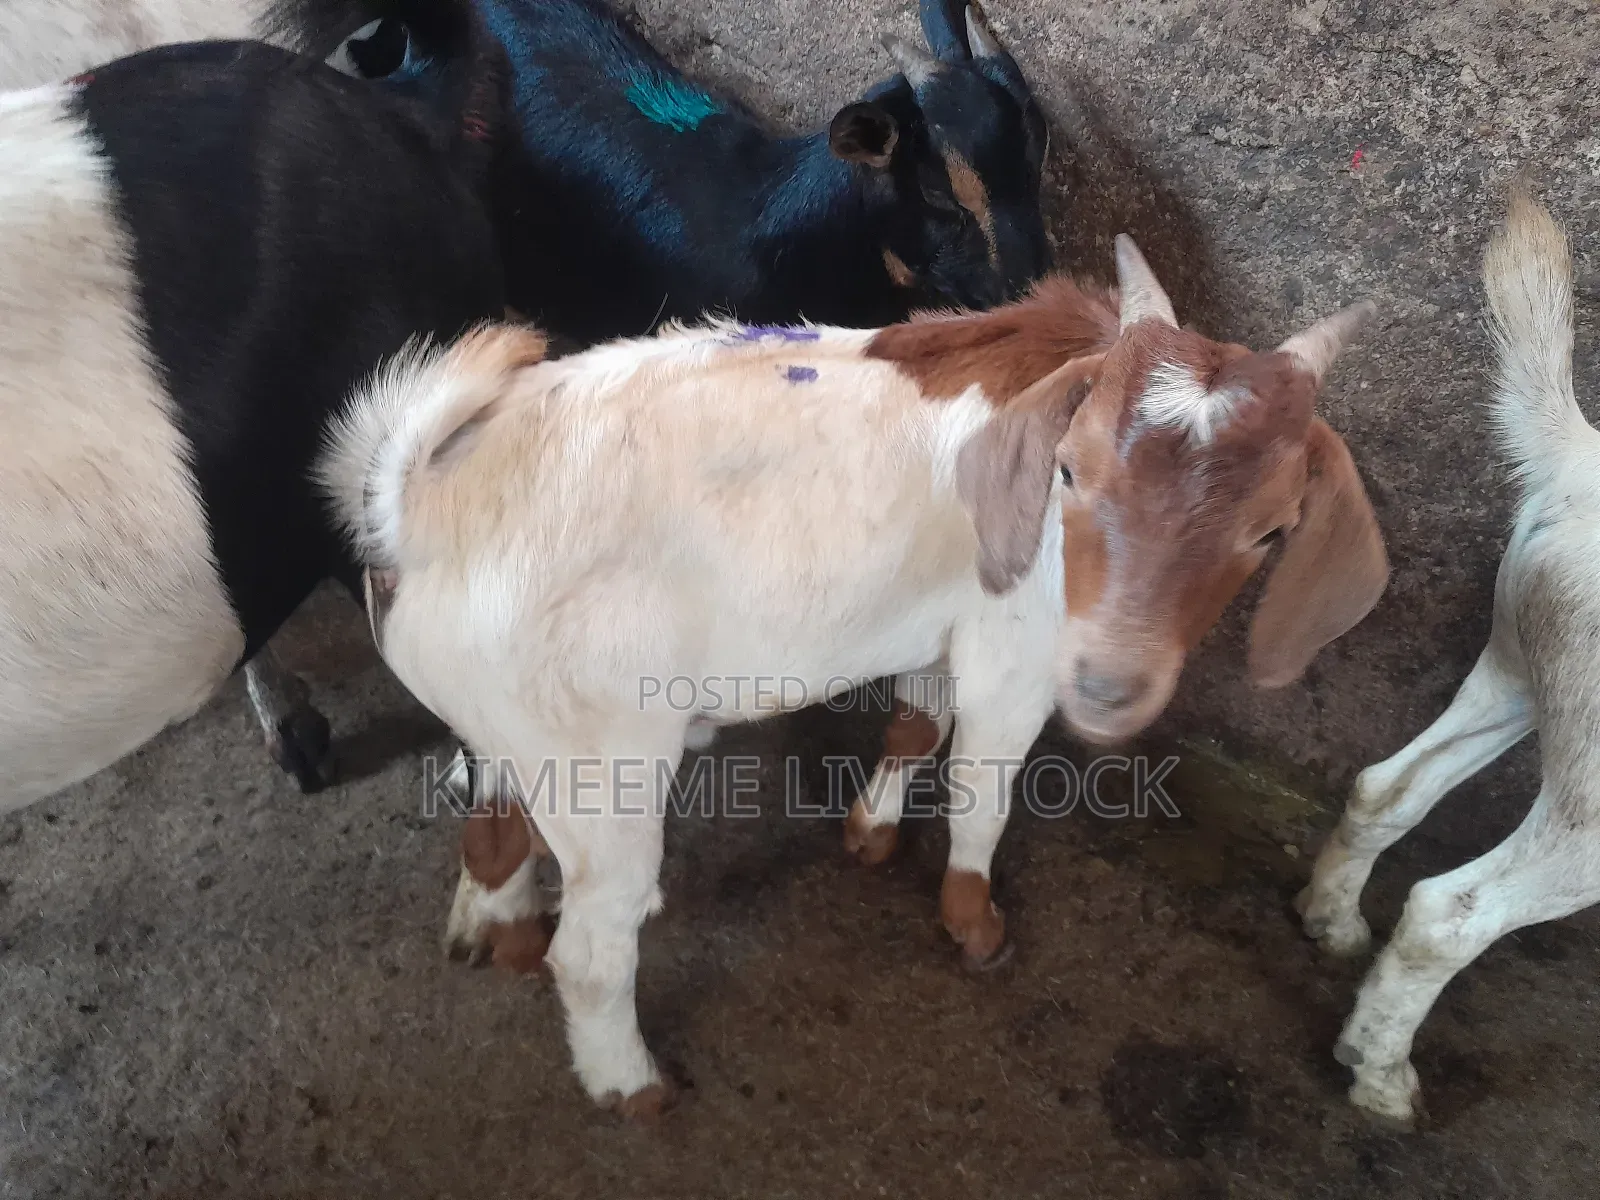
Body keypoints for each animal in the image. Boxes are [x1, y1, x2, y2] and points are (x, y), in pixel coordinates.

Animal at [321, 237, 1388, 1115]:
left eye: (1271, 529)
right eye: (1072, 473)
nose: (1109, 687)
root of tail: (420, 499)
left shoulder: (937, 627)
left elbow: (915, 728)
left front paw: (870, 834)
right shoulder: (1017, 652)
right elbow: (982, 791)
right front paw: (974, 923)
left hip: (509, 725)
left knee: (491, 831)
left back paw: (502, 936)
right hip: (599, 758)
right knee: (592, 946)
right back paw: (632, 1086)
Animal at [1296, 184, 1600, 1129]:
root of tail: (1578, 459)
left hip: (1521, 660)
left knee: (1388, 787)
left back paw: (1330, 921)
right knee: (1451, 911)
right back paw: (1379, 1072)